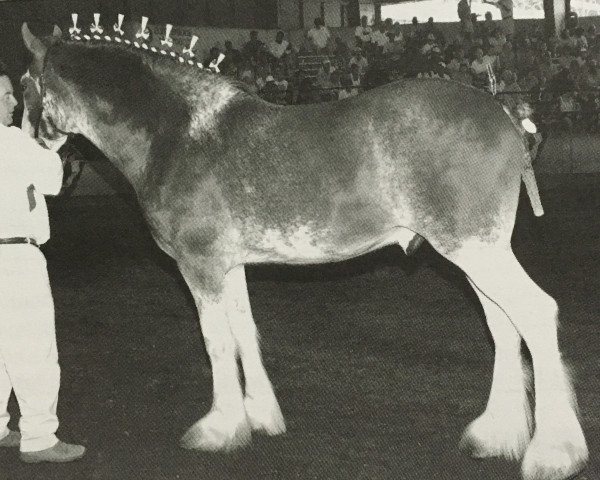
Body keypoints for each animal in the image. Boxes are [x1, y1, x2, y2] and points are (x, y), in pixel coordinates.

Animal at [21, 24, 588, 480]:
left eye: (24, 85)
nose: (32, 142)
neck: (177, 132)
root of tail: (504, 113)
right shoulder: (230, 265)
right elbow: (244, 333)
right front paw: (260, 417)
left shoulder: (200, 264)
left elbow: (216, 343)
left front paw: (219, 429)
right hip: (477, 254)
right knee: (504, 326)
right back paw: (496, 436)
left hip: (475, 250)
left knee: (536, 314)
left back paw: (553, 453)